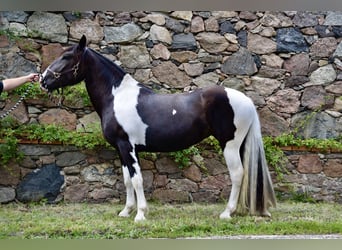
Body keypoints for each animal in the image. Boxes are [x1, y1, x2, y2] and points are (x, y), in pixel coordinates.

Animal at [40, 35, 276, 223]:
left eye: (67, 57)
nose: (43, 80)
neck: (117, 97)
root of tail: (245, 99)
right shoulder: (121, 149)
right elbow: (127, 180)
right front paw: (126, 211)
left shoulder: (128, 146)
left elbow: (137, 179)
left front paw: (140, 214)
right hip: (240, 145)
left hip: (230, 145)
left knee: (237, 174)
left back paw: (227, 213)